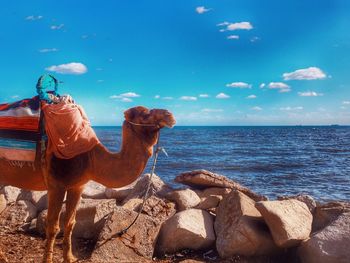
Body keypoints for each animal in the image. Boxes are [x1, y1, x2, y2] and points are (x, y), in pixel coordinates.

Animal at [0, 106, 175, 262]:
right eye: (145, 114)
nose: (170, 115)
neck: (91, 160)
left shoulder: (77, 186)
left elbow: (70, 223)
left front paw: (70, 258)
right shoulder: (57, 186)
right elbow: (53, 226)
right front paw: (48, 260)